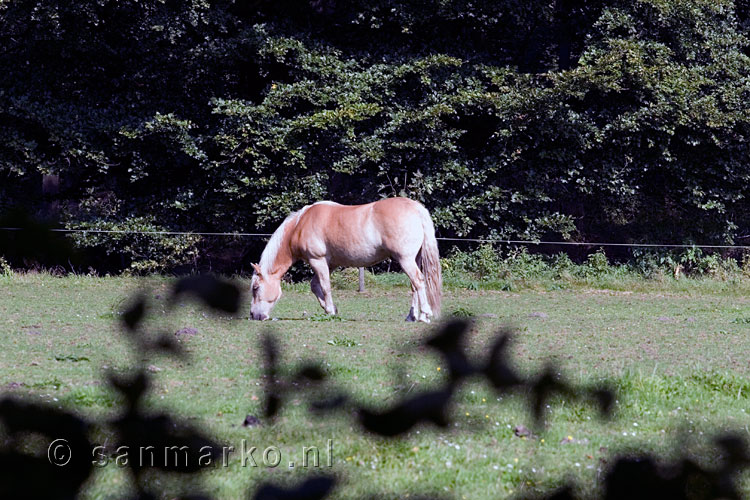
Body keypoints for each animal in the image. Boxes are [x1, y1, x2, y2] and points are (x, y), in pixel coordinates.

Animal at [250, 197, 444, 322]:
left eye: (256, 288)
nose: (253, 316)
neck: (300, 225)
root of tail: (416, 208)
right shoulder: (330, 263)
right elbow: (315, 286)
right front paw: (331, 309)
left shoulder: (317, 260)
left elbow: (325, 286)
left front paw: (330, 311)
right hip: (413, 260)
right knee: (414, 286)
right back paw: (412, 316)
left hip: (406, 260)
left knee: (418, 281)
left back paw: (425, 315)